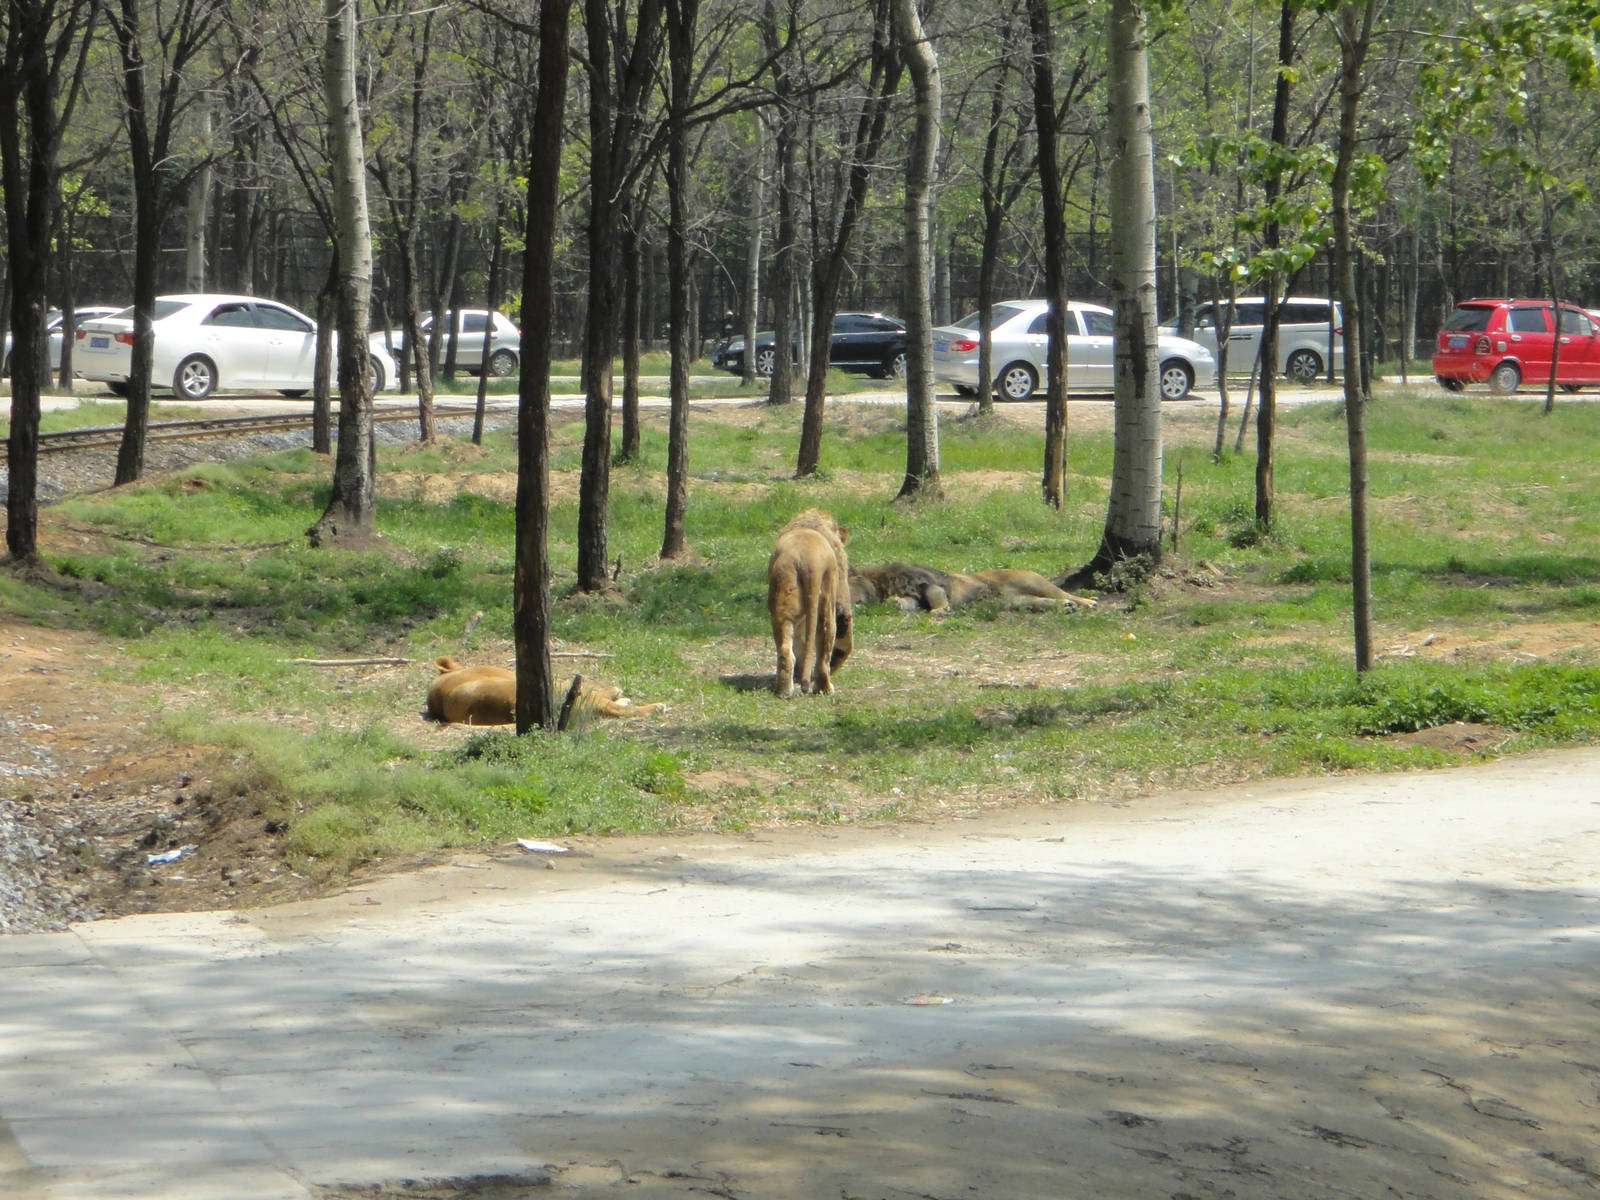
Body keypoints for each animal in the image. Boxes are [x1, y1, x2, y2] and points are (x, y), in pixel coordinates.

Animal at [767, 509, 854, 698]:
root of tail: (810, 561)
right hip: (826, 604)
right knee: (822, 652)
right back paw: (823, 688)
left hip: (784, 606)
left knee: (787, 650)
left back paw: (785, 691)